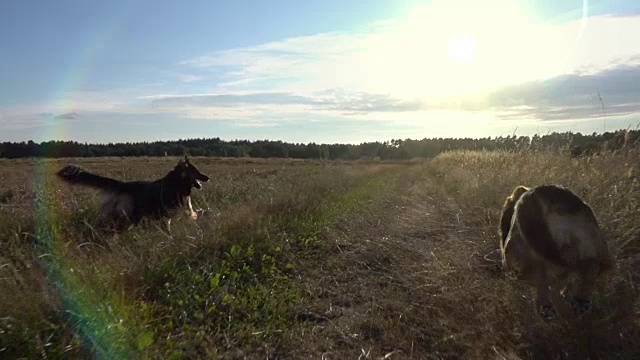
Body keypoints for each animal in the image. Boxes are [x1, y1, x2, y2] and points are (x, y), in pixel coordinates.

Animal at [56, 156, 209, 232]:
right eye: (196, 171)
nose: (208, 177)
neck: (176, 183)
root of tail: (123, 185)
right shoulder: (167, 215)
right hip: (128, 215)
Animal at [500, 184, 616, 320]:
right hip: (594, 243)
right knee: (592, 266)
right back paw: (580, 302)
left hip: (521, 258)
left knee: (541, 282)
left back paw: (547, 310)